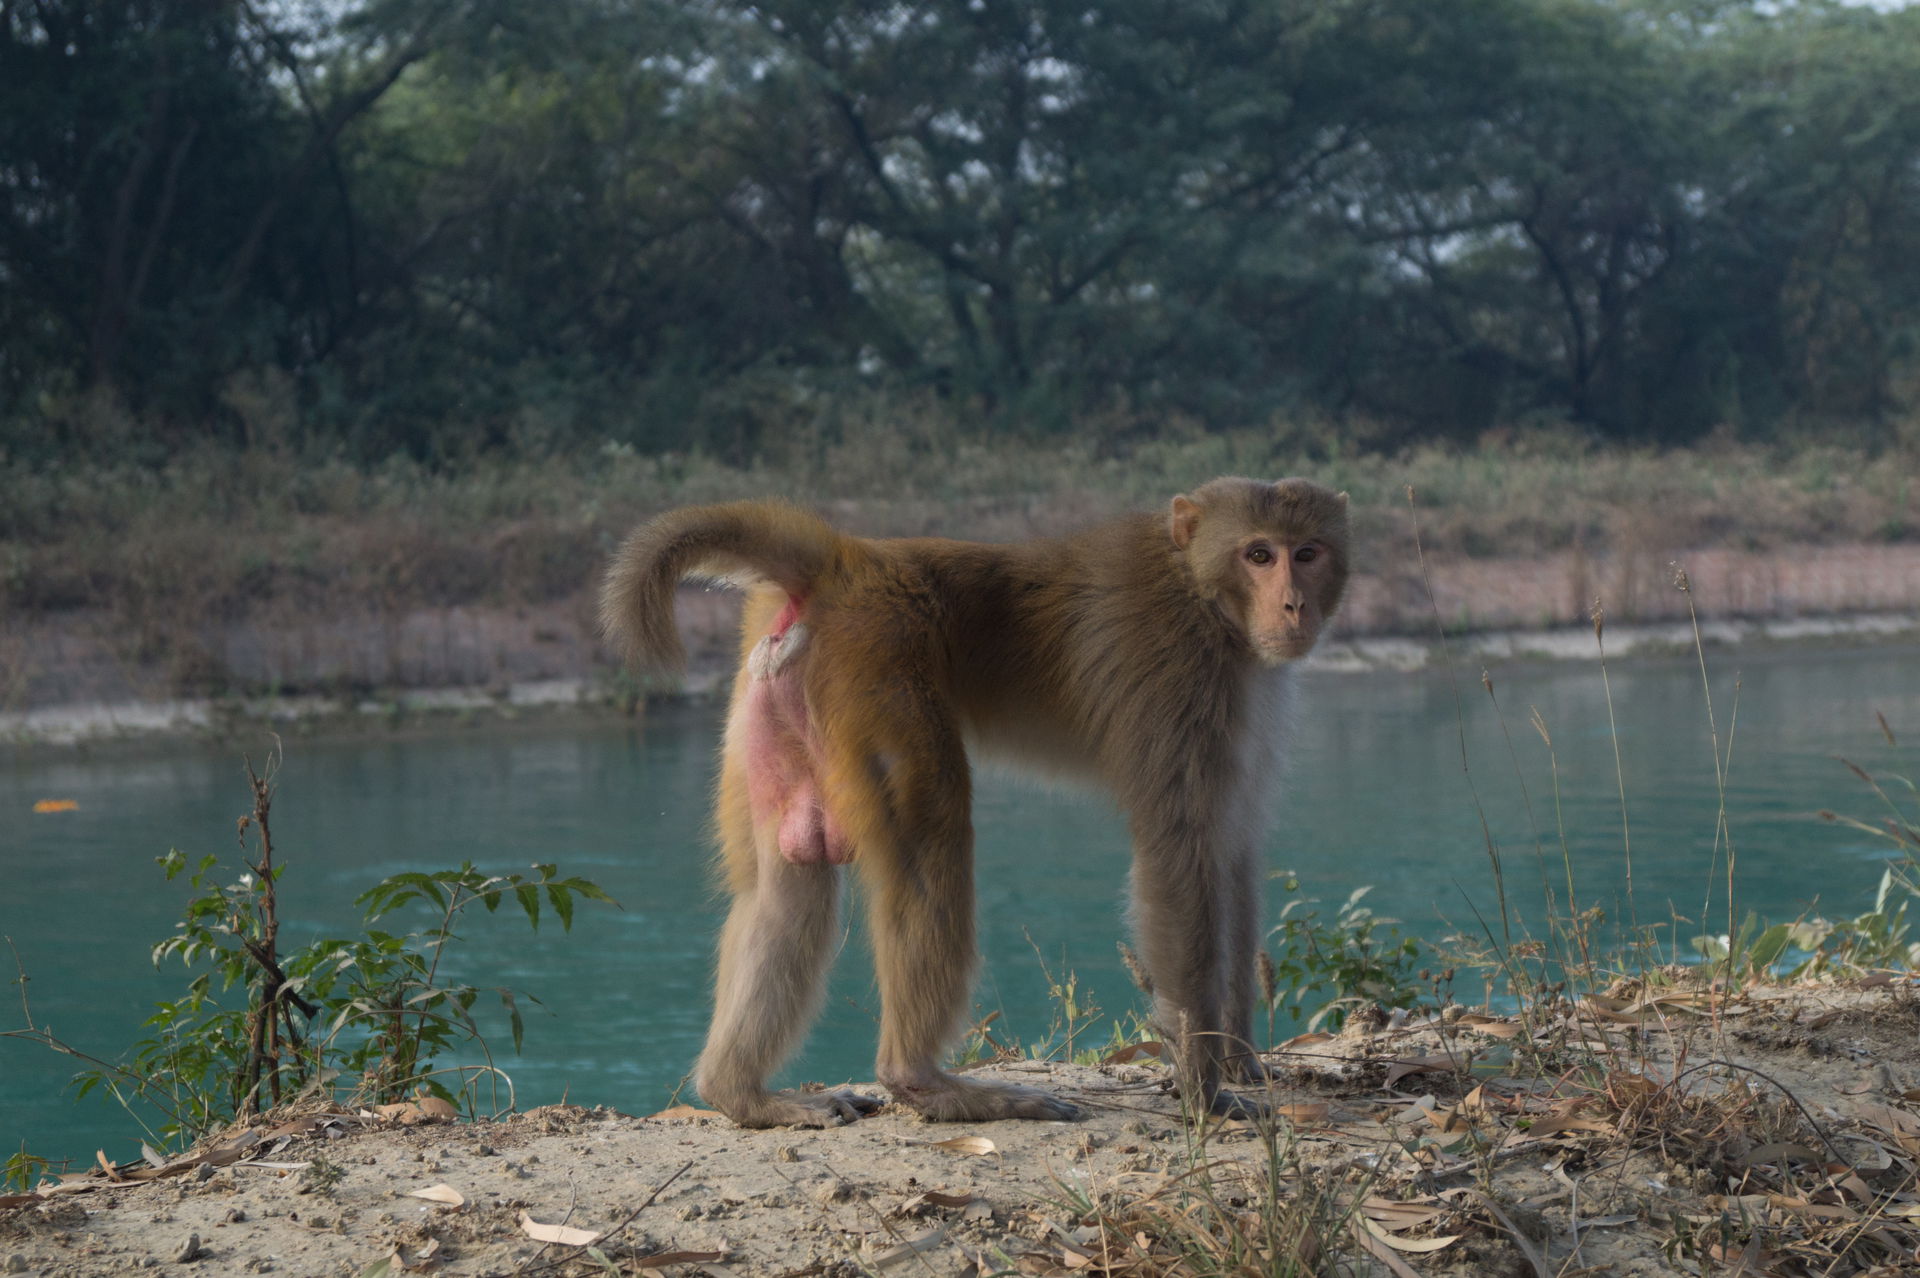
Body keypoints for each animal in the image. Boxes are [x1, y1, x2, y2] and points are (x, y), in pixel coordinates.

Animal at [600, 477, 1350, 1127]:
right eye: (1259, 554)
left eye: (1307, 553)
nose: (1293, 606)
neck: (1200, 593)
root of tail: (848, 560)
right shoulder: (1178, 673)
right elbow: (1178, 847)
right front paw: (1203, 1090)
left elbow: (1232, 843)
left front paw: (1240, 1059)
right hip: (877, 663)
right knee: (930, 834)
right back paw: (924, 1080)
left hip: (780, 691)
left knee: (786, 881)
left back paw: (743, 1095)